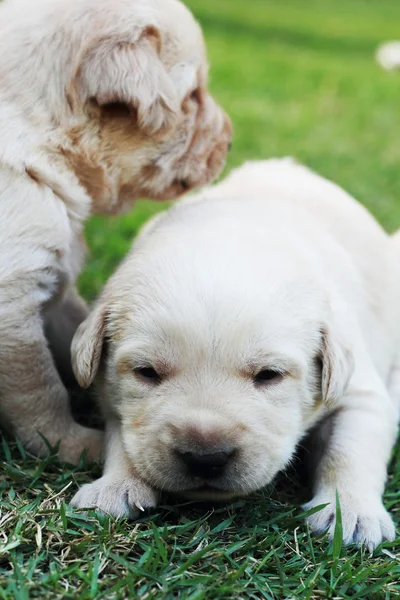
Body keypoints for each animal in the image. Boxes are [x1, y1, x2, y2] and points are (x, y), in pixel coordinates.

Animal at [0, 0, 231, 464]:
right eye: (191, 97)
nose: (231, 141)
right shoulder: (13, 303)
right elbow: (39, 388)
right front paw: (70, 443)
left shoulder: (53, 284)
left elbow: (79, 330)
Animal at [71, 158, 400, 548]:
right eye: (146, 372)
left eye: (269, 375)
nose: (205, 457)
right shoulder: (112, 397)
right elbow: (122, 435)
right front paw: (114, 486)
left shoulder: (356, 388)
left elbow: (350, 448)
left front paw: (350, 511)